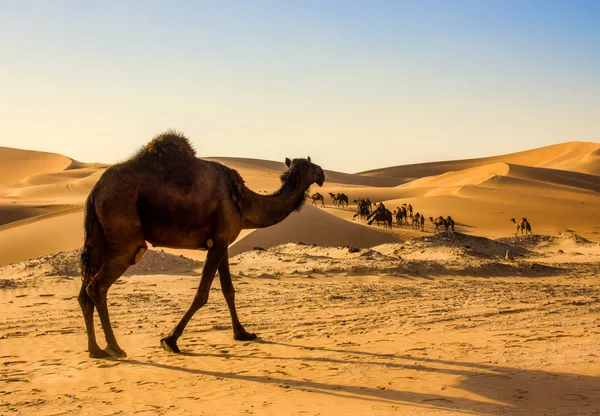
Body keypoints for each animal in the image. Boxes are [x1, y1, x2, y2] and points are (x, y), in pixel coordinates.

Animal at [79, 131, 326, 358]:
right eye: (311, 164)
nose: (323, 173)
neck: (245, 202)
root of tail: (95, 191)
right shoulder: (218, 242)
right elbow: (202, 293)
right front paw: (170, 340)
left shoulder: (222, 242)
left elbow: (228, 290)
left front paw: (242, 333)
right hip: (125, 236)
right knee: (97, 286)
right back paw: (114, 347)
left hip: (99, 240)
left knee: (86, 289)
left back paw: (95, 350)